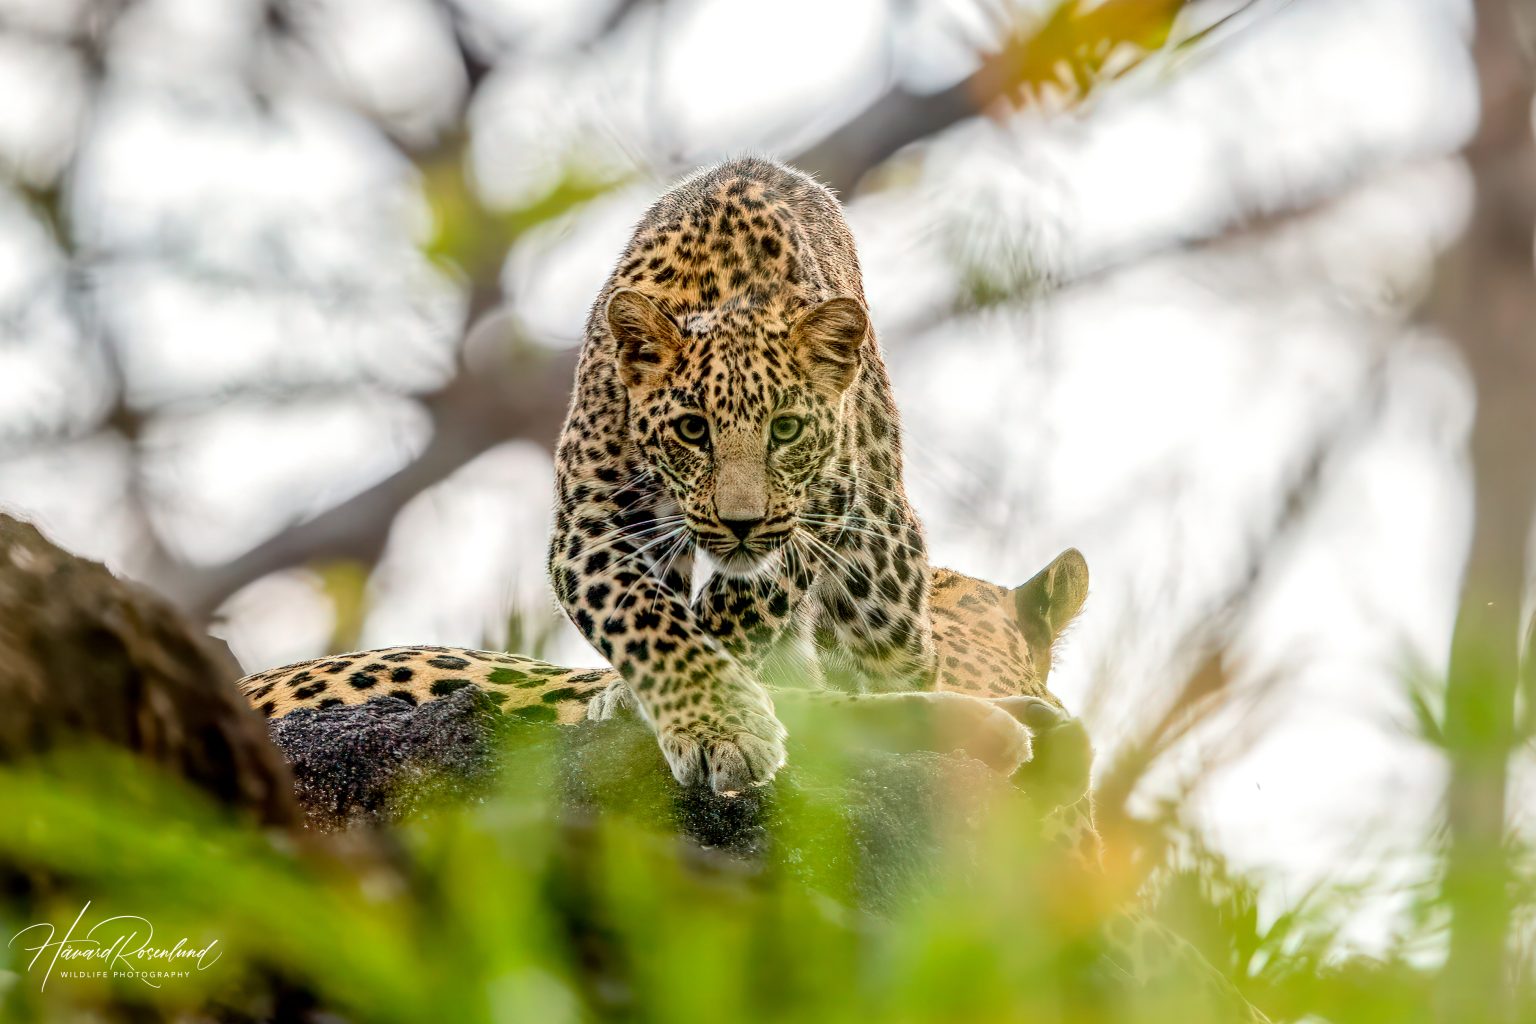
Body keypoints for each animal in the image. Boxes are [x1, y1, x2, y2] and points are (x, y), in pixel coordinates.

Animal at [546, 156, 935, 795]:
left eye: (786, 429)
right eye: (691, 430)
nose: (741, 524)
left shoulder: (816, 508)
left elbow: (738, 606)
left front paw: (715, 719)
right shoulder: (591, 519)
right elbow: (649, 620)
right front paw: (715, 726)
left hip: (883, 584)